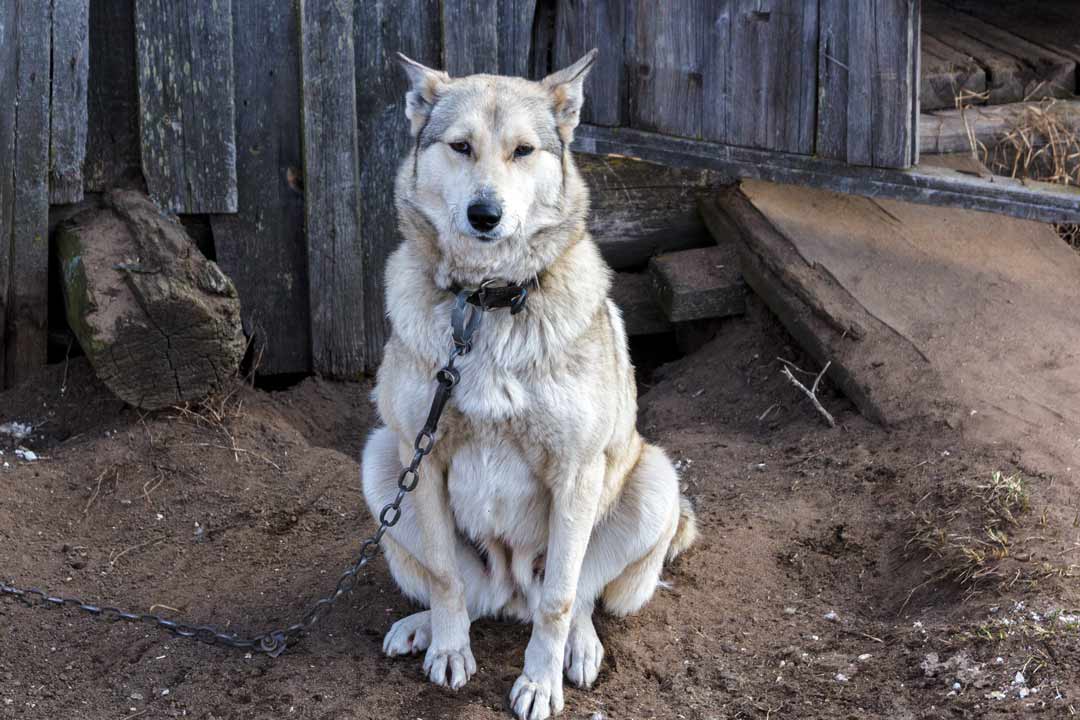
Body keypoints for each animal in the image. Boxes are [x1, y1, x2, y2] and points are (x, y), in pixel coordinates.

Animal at [360, 50, 699, 720]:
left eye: (522, 151)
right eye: (460, 147)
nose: (484, 215)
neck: (488, 304)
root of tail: (509, 589)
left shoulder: (576, 471)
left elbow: (561, 600)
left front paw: (541, 683)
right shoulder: (422, 457)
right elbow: (444, 578)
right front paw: (448, 648)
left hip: (654, 480)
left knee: (578, 594)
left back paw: (579, 648)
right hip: (383, 460)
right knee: (465, 591)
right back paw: (424, 627)